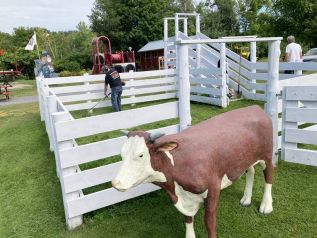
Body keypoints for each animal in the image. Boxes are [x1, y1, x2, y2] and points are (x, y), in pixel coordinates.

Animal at [112, 106, 272, 238]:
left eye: (140, 155)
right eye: (121, 154)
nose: (115, 183)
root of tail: (254, 107)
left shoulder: (213, 188)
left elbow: (209, 222)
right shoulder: (185, 197)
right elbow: (187, 219)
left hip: (267, 156)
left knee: (268, 178)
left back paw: (266, 206)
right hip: (246, 158)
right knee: (251, 171)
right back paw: (246, 199)